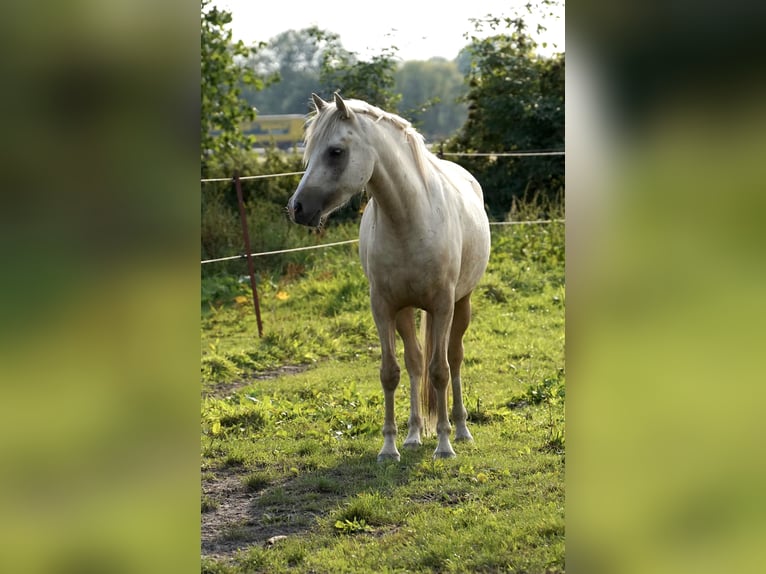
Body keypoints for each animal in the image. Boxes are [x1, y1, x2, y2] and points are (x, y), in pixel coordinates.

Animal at [288, 94, 492, 464]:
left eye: (335, 151)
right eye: (309, 151)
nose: (297, 208)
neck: (409, 218)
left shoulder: (443, 305)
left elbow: (440, 371)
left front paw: (444, 445)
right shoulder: (383, 307)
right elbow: (391, 372)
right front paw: (389, 447)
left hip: (462, 303)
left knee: (453, 358)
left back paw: (461, 429)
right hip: (406, 311)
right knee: (415, 363)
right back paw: (413, 436)